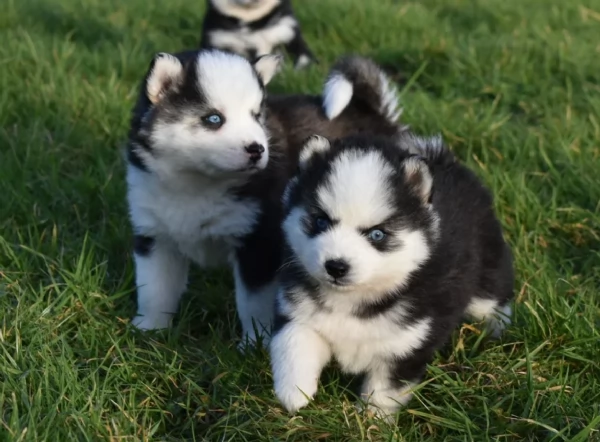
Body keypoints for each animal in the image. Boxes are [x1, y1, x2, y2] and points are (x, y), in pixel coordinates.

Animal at [125, 48, 404, 346]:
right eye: (213, 118)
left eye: (256, 116)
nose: (257, 149)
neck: (197, 184)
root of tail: (375, 114)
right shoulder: (154, 234)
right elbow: (154, 288)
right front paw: (149, 330)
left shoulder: (258, 239)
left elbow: (253, 301)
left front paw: (254, 342)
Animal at [270, 133, 512, 416]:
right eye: (320, 221)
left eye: (377, 234)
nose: (336, 266)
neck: (350, 299)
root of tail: (444, 160)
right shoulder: (298, 310)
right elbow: (294, 341)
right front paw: (294, 392)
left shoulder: (406, 345)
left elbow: (384, 390)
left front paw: (372, 418)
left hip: (486, 275)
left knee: (494, 300)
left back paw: (497, 331)